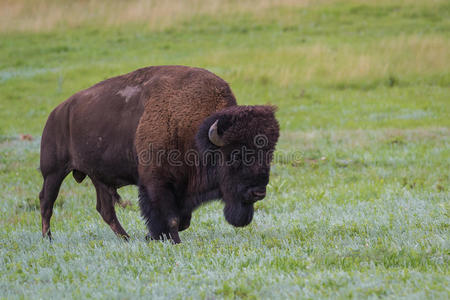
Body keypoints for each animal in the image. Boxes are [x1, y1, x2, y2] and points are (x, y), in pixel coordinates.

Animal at [39, 65, 278, 244]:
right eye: (236, 155)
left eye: (269, 155)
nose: (258, 192)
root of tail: (57, 113)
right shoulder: (157, 183)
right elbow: (170, 218)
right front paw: (170, 240)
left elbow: (183, 220)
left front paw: (152, 236)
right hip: (53, 172)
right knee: (46, 202)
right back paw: (47, 239)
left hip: (98, 177)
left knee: (105, 209)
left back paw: (126, 239)